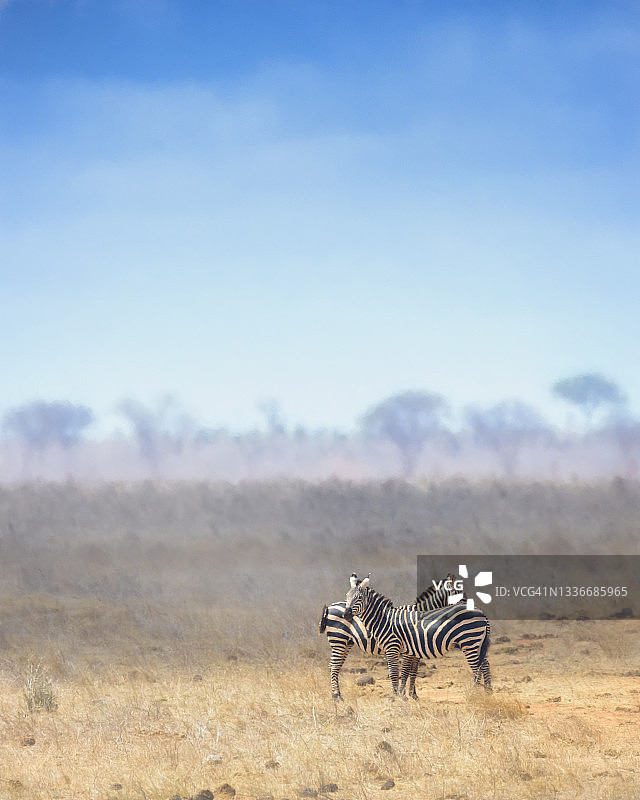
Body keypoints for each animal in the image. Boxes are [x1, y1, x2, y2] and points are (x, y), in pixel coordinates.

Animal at [318, 572, 461, 701]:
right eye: (462, 596)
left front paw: (413, 695)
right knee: (334, 666)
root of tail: (331, 606)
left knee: (334, 666)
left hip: (346, 642)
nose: (346, 614)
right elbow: (405, 671)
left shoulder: (415, 651)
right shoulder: (409, 651)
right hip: (338, 640)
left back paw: (335, 695)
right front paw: (403, 695)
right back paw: (337, 697)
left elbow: (413, 671)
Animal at [343, 574, 492, 696]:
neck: (384, 619)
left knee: (480, 666)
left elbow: (402, 672)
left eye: (359, 598)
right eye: (347, 596)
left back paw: (478, 694)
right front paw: (407, 695)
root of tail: (482, 613)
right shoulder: (411, 650)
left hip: (470, 642)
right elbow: (408, 672)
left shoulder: (399, 648)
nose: (346, 614)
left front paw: (401, 696)